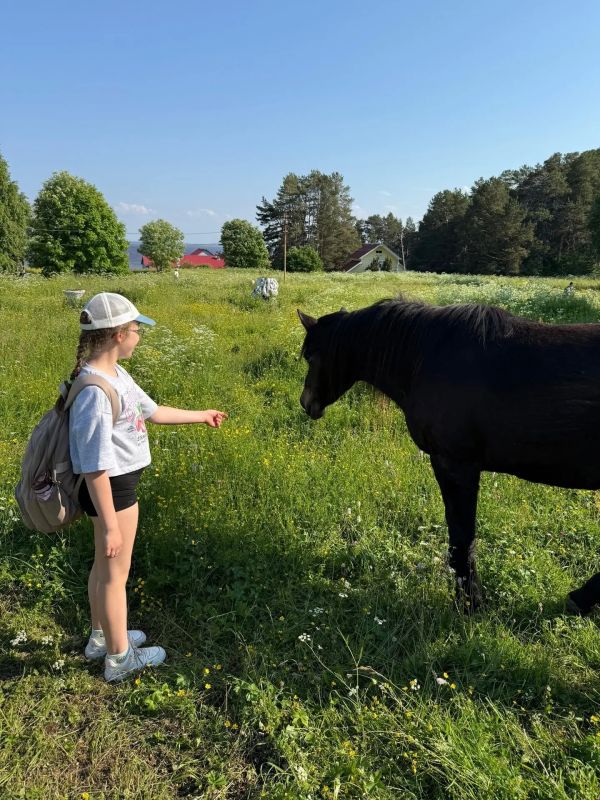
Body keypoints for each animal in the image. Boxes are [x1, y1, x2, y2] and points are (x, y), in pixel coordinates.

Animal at [297, 298, 600, 615]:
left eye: (310, 357)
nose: (306, 403)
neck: (427, 355)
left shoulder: (454, 464)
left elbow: (462, 537)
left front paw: (469, 603)